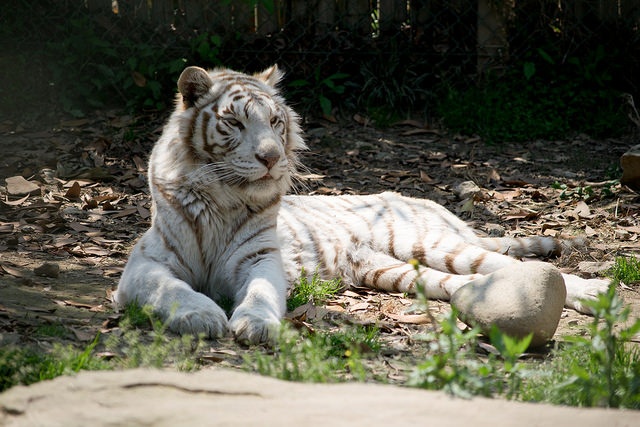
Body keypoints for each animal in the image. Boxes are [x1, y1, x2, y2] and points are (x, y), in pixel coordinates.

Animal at [114, 65, 609, 344]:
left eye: (275, 121)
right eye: (234, 123)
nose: (271, 157)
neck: (223, 198)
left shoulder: (260, 259)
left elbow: (260, 294)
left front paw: (256, 325)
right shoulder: (145, 264)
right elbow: (171, 290)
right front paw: (200, 315)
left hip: (430, 244)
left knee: (511, 264)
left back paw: (594, 292)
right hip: (391, 270)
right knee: (471, 282)